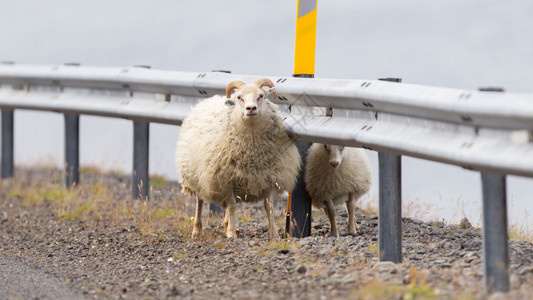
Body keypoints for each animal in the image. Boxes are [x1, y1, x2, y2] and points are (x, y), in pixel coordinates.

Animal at [175, 77, 300, 239]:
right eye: (240, 97)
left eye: (261, 96)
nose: (251, 108)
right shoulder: (225, 178)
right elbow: (232, 205)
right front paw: (231, 233)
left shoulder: (269, 177)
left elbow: (269, 206)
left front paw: (274, 234)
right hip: (197, 176)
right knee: (200, 201)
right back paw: (197, 230)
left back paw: (225, 223)